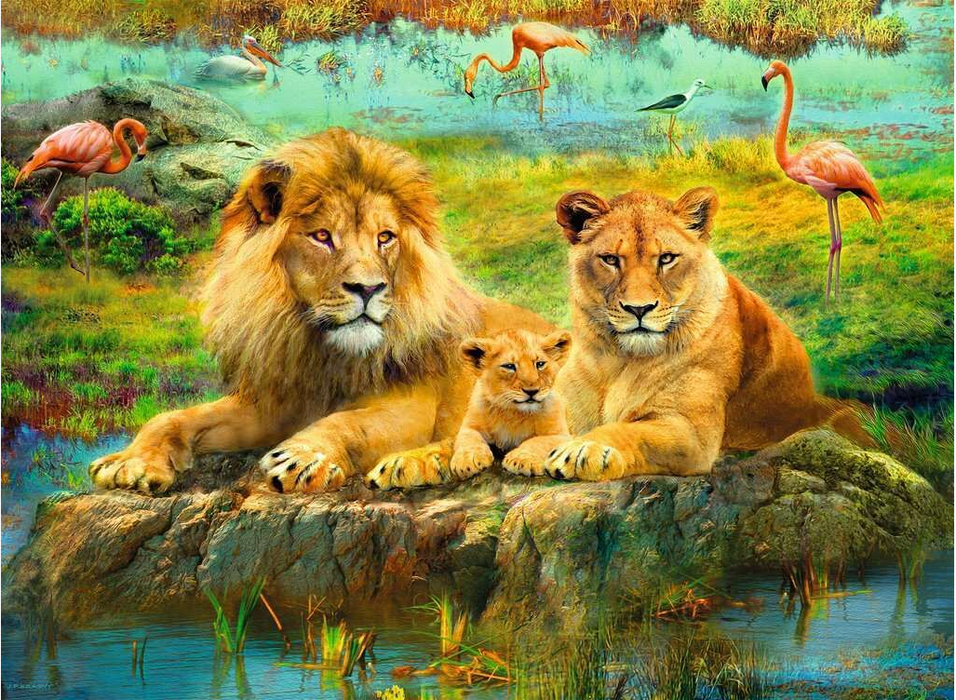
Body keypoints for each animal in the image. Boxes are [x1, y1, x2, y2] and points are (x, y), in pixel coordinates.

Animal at [89, 128, 552, 494]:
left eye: (385, 237)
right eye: (323, 236)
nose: (368, 288)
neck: (321, 351)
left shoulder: (412, 406)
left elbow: (348, 423)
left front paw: (303, 457)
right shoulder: (274, 403)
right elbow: (173, 417)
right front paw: (129, 461)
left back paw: (412, 463)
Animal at [543, 185, 867, 481]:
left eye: (666, 258)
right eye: (610, 259)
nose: (639, 308)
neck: (619, 362)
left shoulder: (691, 433)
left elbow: (628, 431)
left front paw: (585, 449)